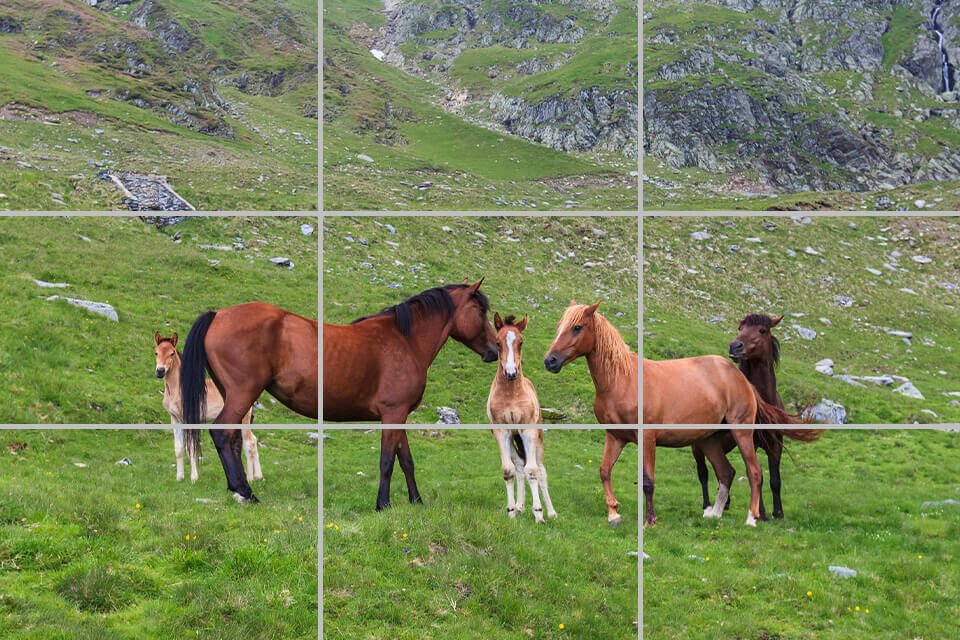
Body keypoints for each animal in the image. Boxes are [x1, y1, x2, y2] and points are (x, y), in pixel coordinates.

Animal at [154, 332, 261, 485]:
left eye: (172, 353)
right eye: (156, 352)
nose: (160, 371)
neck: (176, 390)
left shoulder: (190, 419)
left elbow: (191, 448)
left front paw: (194, 478)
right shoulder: (175, 419)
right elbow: (178, 448)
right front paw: (179, 477)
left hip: (244, 418)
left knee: (249, 442)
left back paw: (251, 478)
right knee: (254, 439)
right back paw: (258, 476)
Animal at [322, 280, 498, 511]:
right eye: (479, 310)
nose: (497, 348)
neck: (406, 342)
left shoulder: (400, 415)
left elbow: (406, 461)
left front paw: (416, 500)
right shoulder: (393, 413)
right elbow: (387, 461)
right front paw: (382, 504)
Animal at [543, 301, 638, 525]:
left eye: (577, 327)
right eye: (559, 325)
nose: (549, 361)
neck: (622, 380)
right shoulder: (615, 435)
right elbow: (605, 470)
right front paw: (613, 512)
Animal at [691, 314, 822, 520]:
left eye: (762, 330)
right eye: (740, 328)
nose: (734, 346)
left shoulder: (775, 445)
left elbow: (775, 479)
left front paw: (778, 513)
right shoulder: (749, 443)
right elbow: (753, 471)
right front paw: (761, 513)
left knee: (721, 470)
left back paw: (725, 502)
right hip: (698, 446)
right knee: (703, 472)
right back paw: (708, 505)